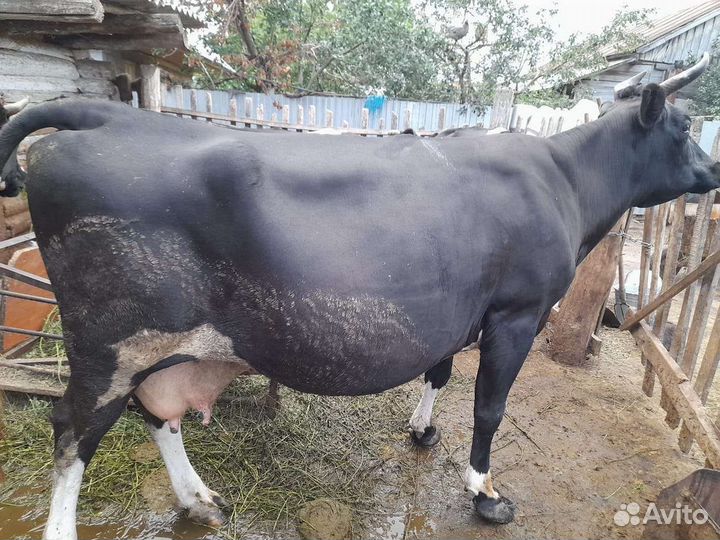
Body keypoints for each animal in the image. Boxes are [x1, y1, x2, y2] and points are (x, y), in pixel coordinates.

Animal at [0, 54, 717, 540]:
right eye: (683, 128)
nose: (712, 170)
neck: (564, 178)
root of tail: (107, 114)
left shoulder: (457, 310)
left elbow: (440, 371)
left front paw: (423, 431)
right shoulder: (517, 313)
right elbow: (489, 408)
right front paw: (484, 492)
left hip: (158, 348)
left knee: (156, 412)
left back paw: (200, 498)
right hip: (109, 341)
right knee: (72, 431)